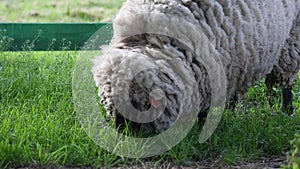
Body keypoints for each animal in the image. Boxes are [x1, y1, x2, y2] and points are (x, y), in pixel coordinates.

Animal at [92, 0, 300, 133]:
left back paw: (287, 111)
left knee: (286, 83)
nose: (123, 134)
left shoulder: (208, 74)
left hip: (291, 40)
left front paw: (201, 129)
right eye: (109, 106)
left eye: (137, 104)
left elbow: (204, 112)